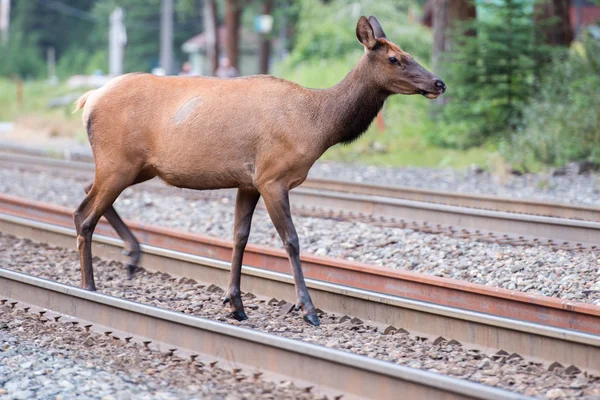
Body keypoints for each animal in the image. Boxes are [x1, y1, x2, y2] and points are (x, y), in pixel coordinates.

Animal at [72, 17, 442, 326]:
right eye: (394, 58)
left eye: (409, 53)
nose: (439, 83)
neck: (319, 127)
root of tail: (88, 98)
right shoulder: (272, 177)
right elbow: (291, 240)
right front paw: (308, 309)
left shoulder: (248, 182)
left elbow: (240, 237)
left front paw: (235, 304)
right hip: (119, 161)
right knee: (84, 214)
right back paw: (89, 286)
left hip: (135, 166)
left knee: (87, 190)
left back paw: (133, 255)